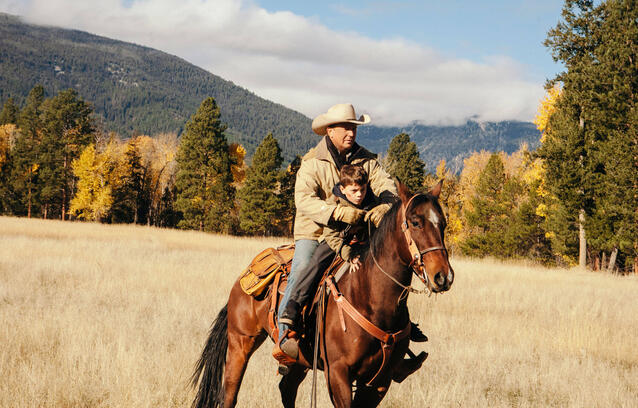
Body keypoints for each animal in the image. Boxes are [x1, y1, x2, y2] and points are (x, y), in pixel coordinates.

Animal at [191, 182, 456, 408]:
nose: (443, 277)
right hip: (241, 343)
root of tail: (242, 279)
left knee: (286, 388)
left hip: (298, 360)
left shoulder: (380, 382)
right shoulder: (337, 374)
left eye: (443, 223)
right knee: (229, 394)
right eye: (415, 222)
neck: (372, 299)